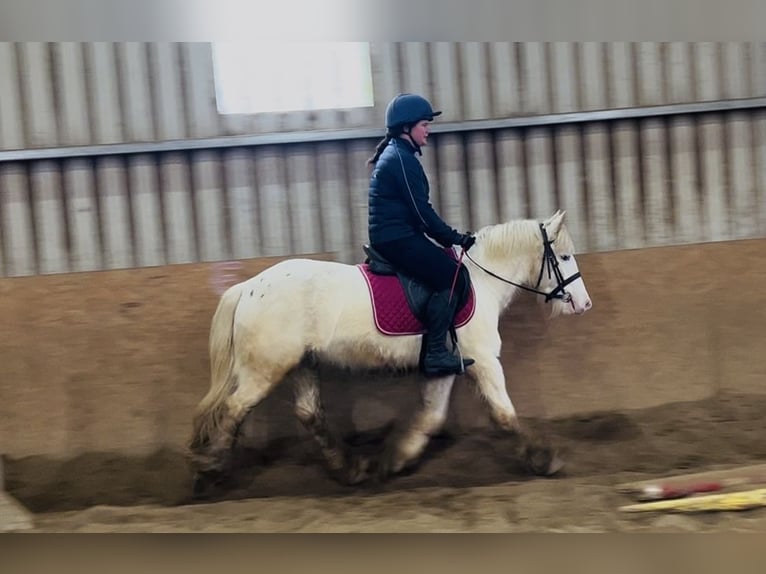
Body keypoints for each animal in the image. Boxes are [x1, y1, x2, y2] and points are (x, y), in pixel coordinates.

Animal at [188, 210, 592, 495]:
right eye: (565, 257)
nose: (583, 304)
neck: (482, 282)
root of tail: (247, 287)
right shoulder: (485, 360)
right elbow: (504, 414)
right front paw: (545, 460)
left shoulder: (447, 366)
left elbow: (432, 417)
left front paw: (395, 461)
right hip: (265, 369)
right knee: (234, 409)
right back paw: (208, 474)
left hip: (301, 363)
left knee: (308, 414)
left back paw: (349, 469)